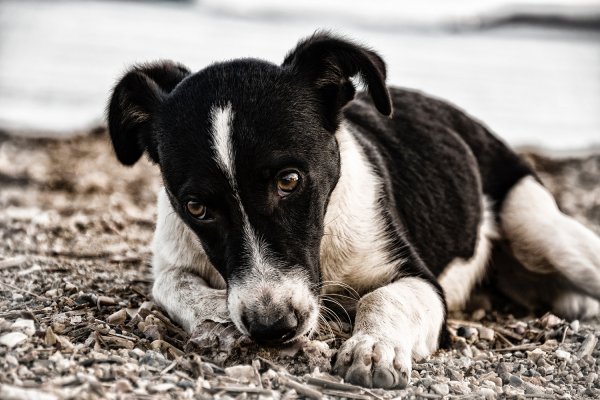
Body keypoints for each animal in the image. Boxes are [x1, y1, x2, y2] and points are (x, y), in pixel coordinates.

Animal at [106, 32, 600, 390]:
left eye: (290, 180)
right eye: (196, 207)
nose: (272, 327)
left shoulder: (419, 280)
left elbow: (382, 297)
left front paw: (373, 347)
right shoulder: (172, 258)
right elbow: (175, 286)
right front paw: (218, 320)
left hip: (540, 228)